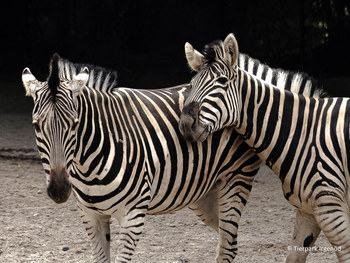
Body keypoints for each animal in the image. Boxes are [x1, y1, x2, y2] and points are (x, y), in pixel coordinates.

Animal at [21, 52, 322, 263]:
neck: (87, 163)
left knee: (228, 244)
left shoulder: (133, 216)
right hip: (202, 194)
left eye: (74, 125)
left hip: (236, 179)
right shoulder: (90, 215)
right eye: (36, 126)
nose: (59, 190)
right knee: (230, 241)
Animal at [179, 33, 350, 263]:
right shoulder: (309, 209)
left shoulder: (331, 207)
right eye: (191, 84)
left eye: (222, 81)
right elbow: (294, 256)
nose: (185, 125)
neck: (304, 132)